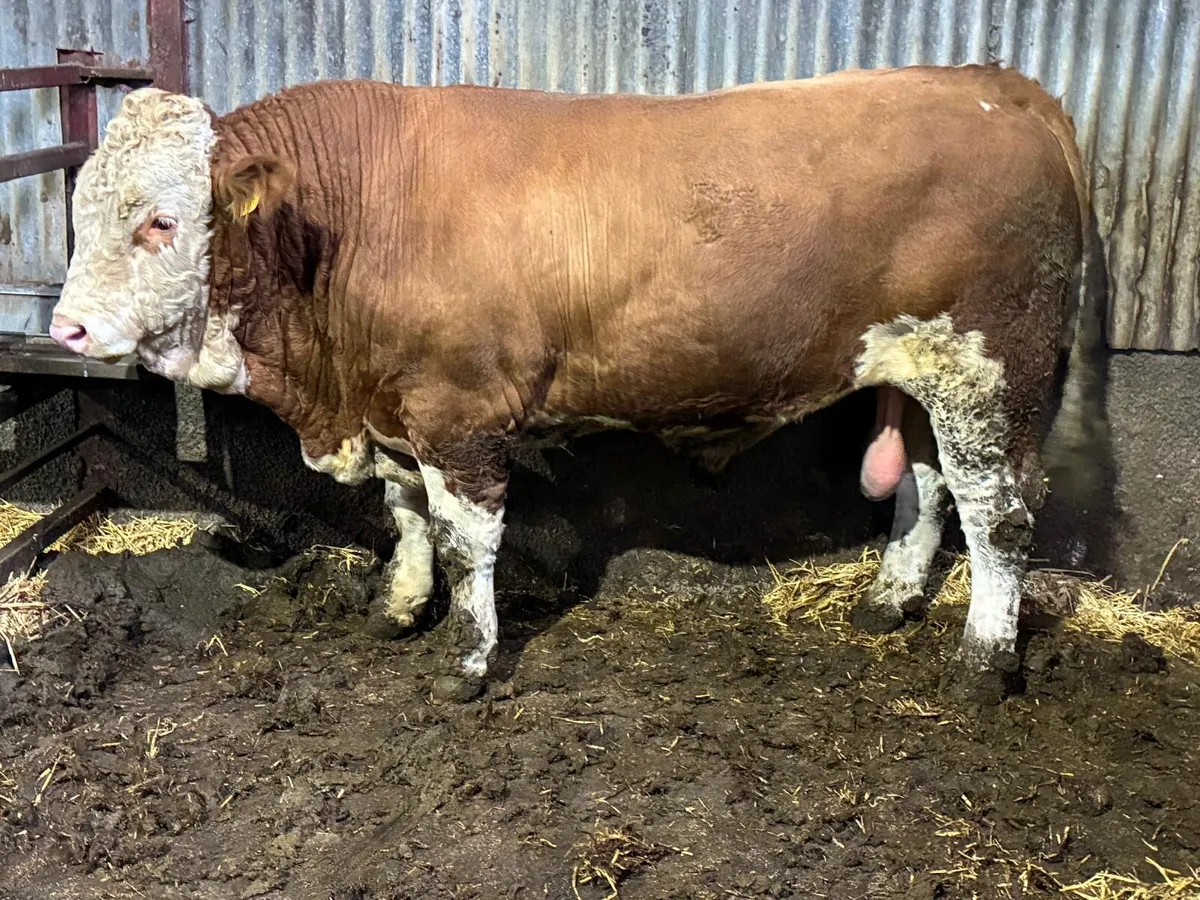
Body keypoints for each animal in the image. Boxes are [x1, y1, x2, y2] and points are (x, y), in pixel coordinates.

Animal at [49, 65, 1102, 702]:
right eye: (81, 208)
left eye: (160, 221)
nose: (67, 327)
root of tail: (1000, 86)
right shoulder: (395, 405)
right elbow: (407, 515)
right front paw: (397, 608)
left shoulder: (460, 412)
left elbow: (468, 539)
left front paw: (470, 658)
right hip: (920, 372)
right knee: (928, 486)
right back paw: (891, 600)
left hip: (986, 370)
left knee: (1001, 514)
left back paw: (983, 661)